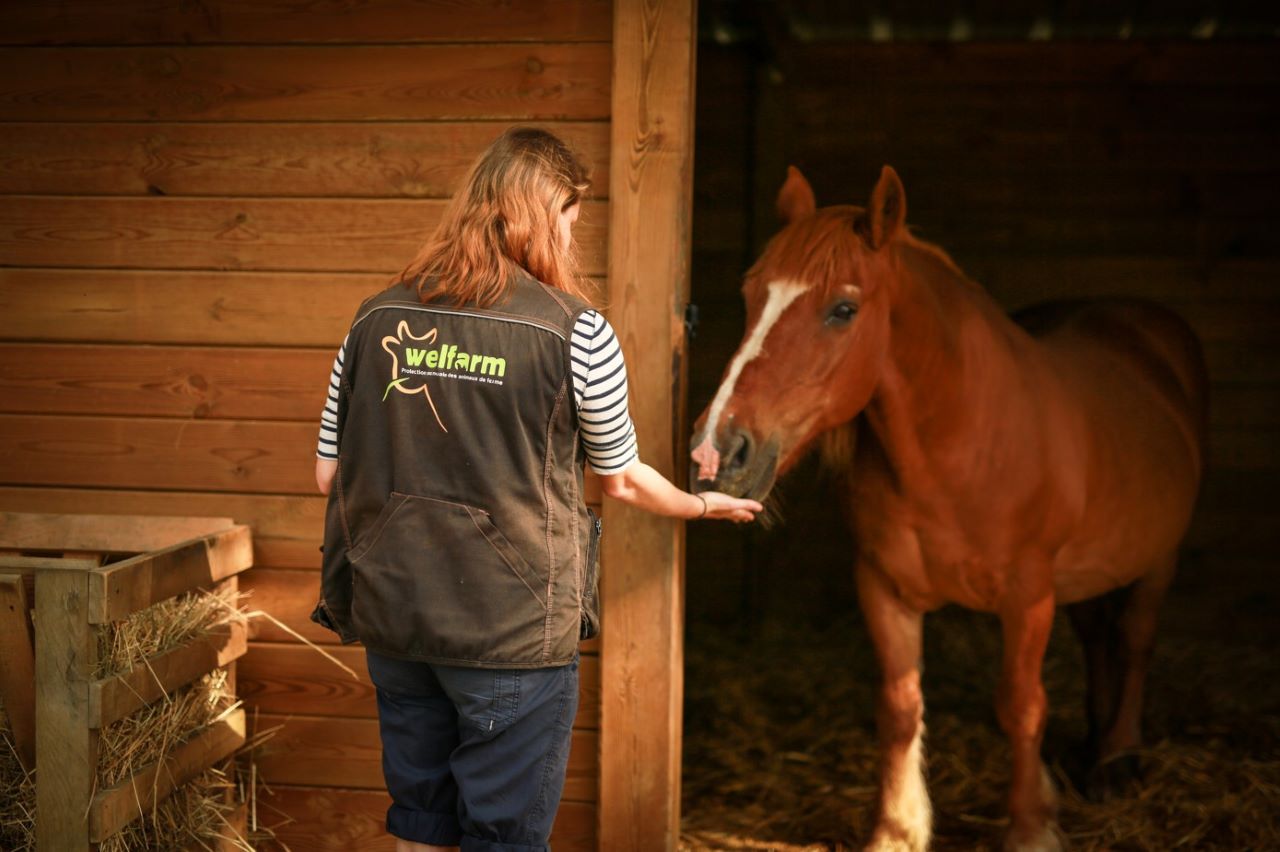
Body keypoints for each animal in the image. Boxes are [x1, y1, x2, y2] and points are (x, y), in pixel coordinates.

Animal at [691, 167, 1198, 849]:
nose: (716, 449)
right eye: (751, 295)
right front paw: (897, 828)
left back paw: (1116, 759)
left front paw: (1031, 826)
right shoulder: (883, 586)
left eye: (843, 309)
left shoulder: (1028, 596)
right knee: (1098, 639)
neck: (960, 449)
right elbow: (900, 707)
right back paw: (1092, 746)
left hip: (1158, 558)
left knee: (1136, 639)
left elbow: (1021, 705)